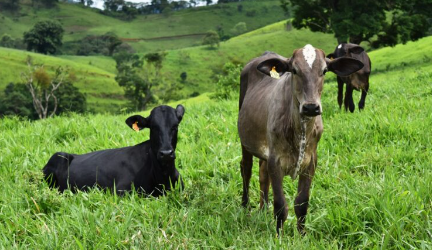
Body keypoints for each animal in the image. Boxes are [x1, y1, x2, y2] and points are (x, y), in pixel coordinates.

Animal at [42, 104, 186, 196]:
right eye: (153, 127)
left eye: (175, 126)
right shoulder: (120, 191)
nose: (166, 153)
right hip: (58, 158)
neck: (163, 177)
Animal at [238, 44, 362, 234]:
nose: (311, 107)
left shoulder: (310, 162)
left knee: (262, 174)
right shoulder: (275, 161)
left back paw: (263, 209)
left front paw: (302, 234)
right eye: (294, 70)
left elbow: (302, 203)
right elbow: (280, 205)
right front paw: (279, 236)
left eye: (324, 71)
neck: (299, 130)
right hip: (245, 142)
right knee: (246, 168)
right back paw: (245, 206)